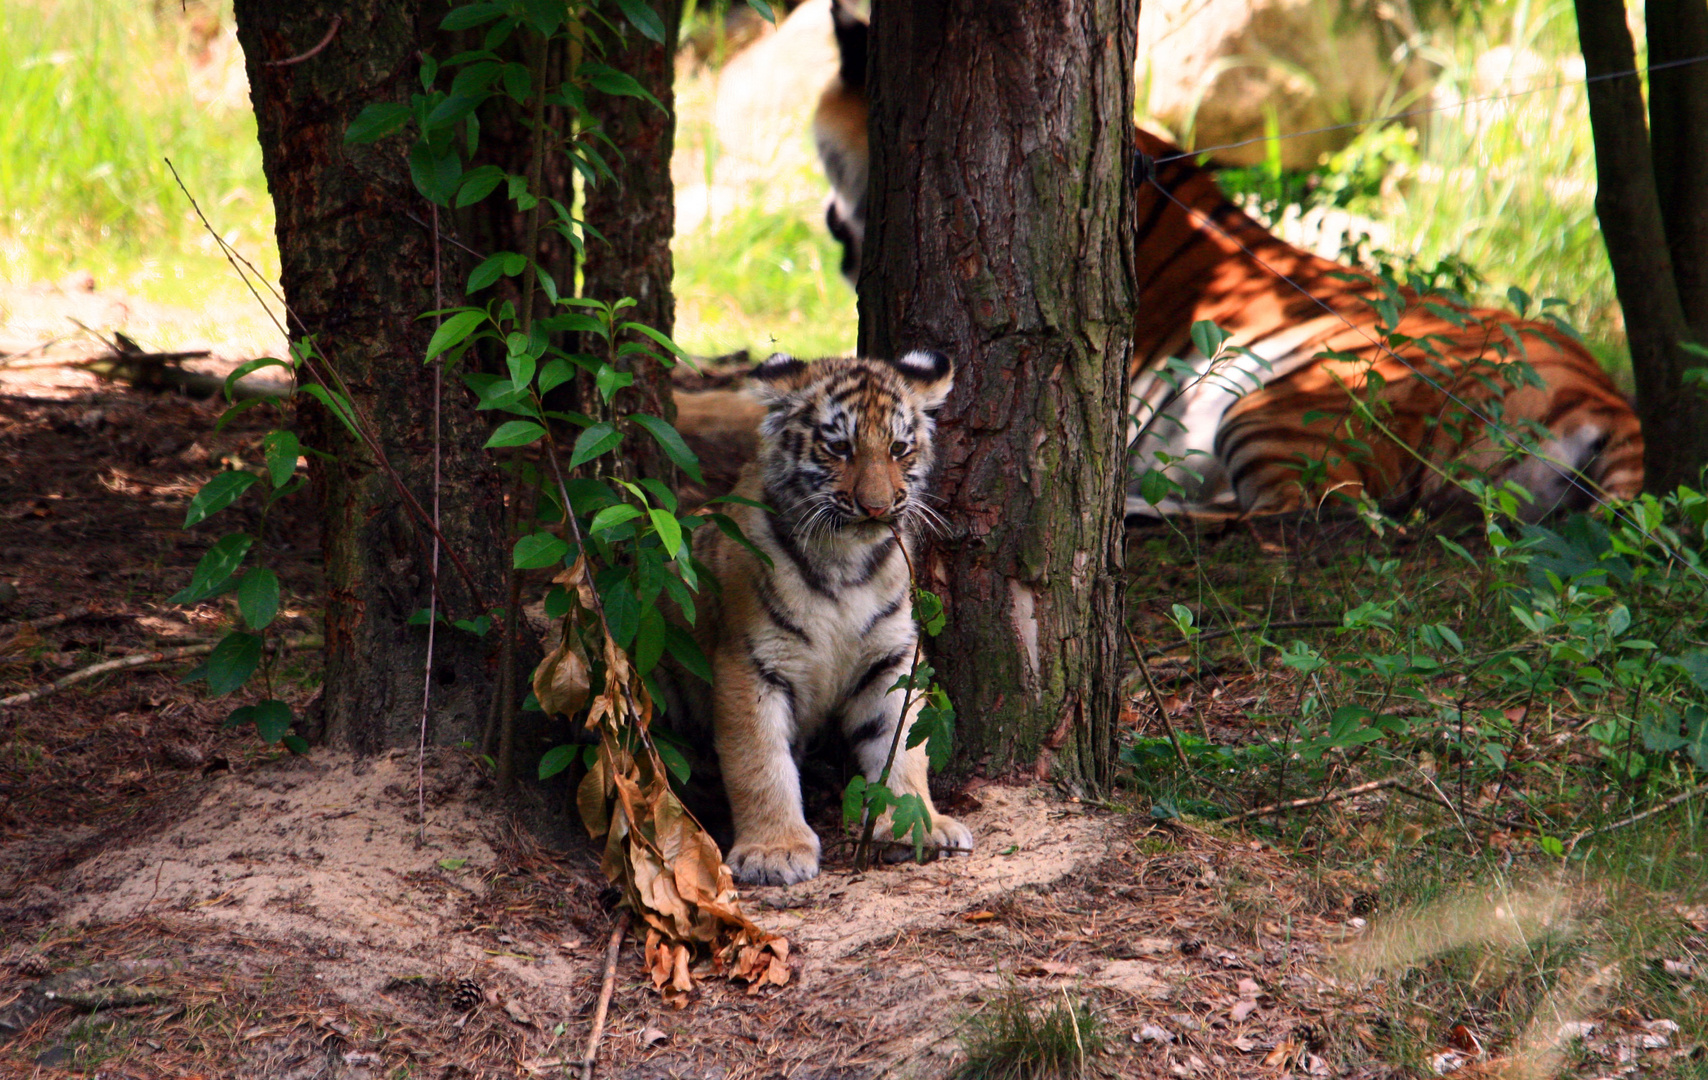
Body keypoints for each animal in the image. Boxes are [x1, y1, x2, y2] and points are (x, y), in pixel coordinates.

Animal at [655, 350, 976, 881]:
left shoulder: (890, 656)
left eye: (898, 448)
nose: (876, 507)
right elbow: (759, 761)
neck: (845, 560)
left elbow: (900, 742)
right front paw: (774, 852)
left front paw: (917, 824)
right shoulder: (751, 663)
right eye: (839, 447)